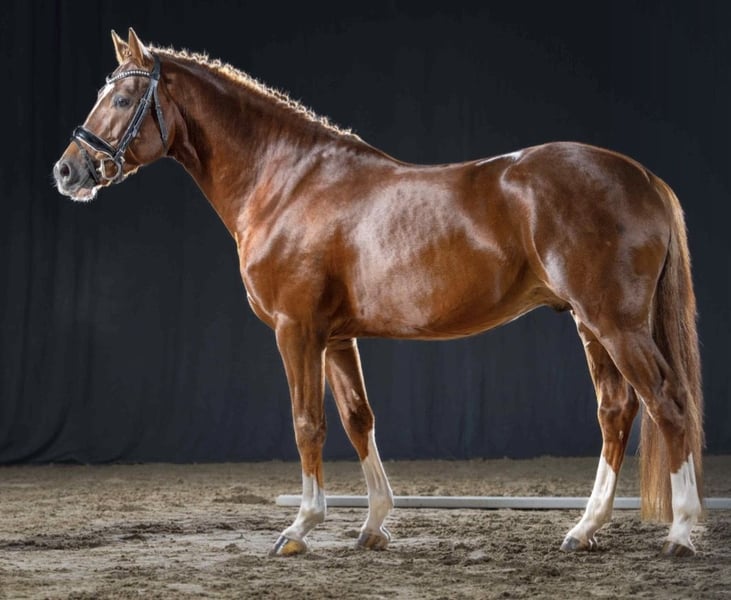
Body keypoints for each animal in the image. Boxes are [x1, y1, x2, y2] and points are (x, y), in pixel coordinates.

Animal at [54, 28, 703, 557]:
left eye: (120, 99)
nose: (67, 171)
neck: (287, 182)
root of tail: (642, 177)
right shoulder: (337, 338)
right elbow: (357, 419)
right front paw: (373, 525)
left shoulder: (297, 330)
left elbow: (307, 422)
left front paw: (300, 527)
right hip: (589, 324)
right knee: (616, 411)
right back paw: (584, 529)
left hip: (615, 324)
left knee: (667, 405)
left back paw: (680, 532)